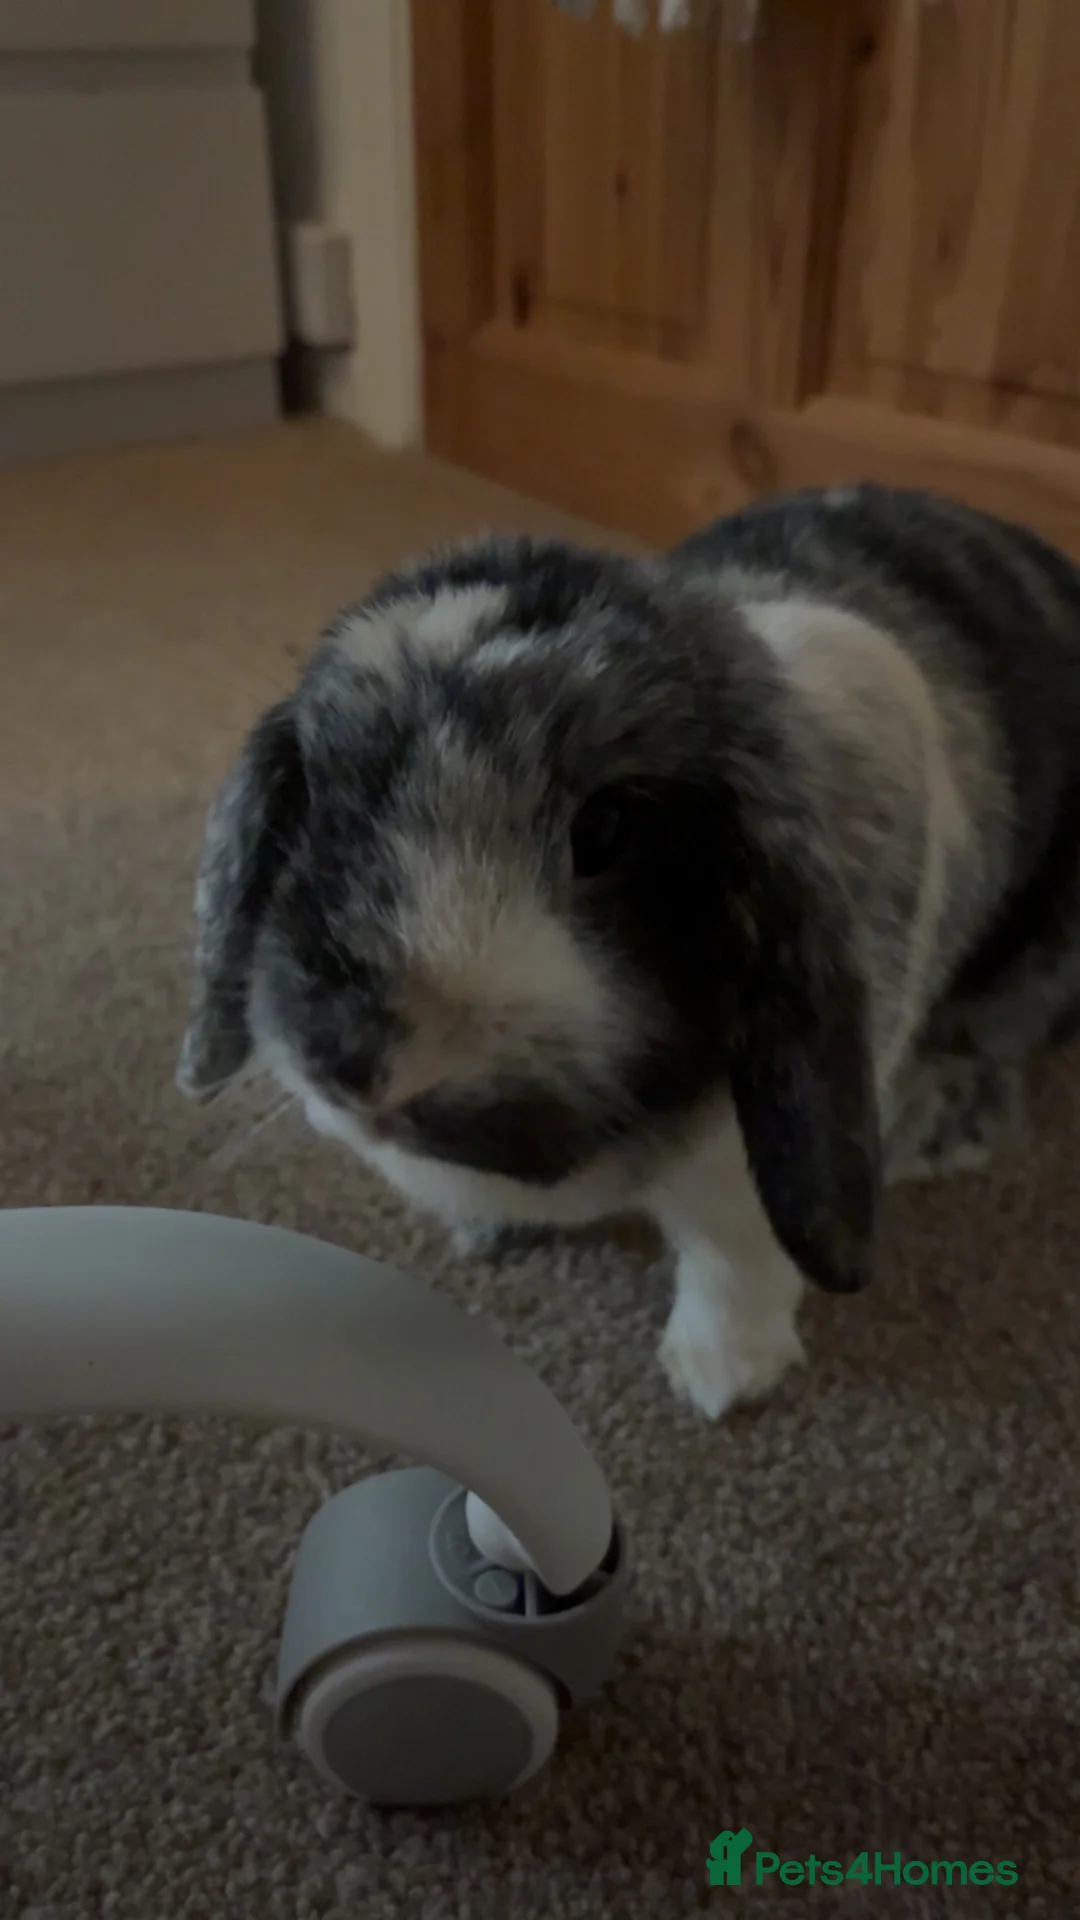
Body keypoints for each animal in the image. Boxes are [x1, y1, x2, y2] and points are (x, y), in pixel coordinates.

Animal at [177, 484, 1080, 1420]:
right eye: (319, 797)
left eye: (604, 832)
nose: (353, 1060)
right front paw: (489, 1230)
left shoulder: (744, 1173)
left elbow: (736, 1257)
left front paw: (721, 1379)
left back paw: (933, 1126)